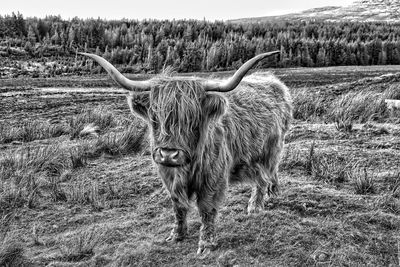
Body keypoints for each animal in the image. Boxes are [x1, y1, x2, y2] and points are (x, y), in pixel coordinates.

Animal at [80, 51, 294, 255]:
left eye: (192, 119)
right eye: (155, 117)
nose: (168, 154)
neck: (186, 167)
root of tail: (273, 81)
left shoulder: (212, 176)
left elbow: (207, 209)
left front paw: (206, 244)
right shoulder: (168, 175)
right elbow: (178, 206)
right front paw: (176, 235)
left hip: (271, 149)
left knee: (264, 177)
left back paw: (256, 205)